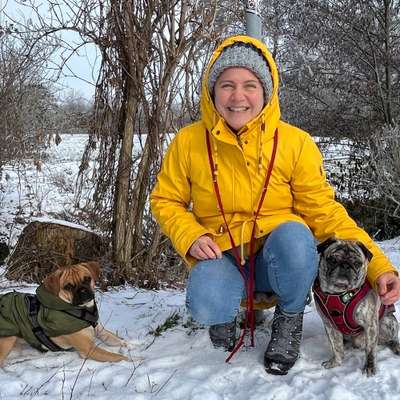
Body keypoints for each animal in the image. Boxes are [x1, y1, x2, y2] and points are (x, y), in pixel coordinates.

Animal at [0, 260, 129, 364]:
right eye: (68, 286)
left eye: (87, 279)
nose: (83, 291)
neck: (84, 311)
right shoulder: (89, 349)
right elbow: (117, 357)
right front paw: (132, 361)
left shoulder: (101, 332)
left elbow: (120, 340)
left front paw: (131, 345)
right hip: (7, 340)